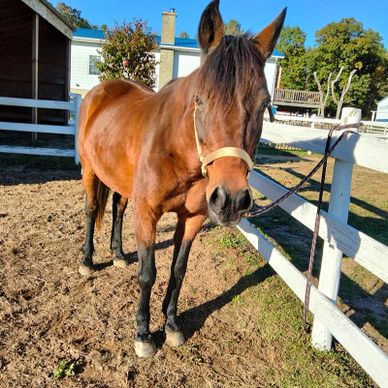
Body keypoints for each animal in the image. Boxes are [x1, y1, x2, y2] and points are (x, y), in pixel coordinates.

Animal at [77, 0, 286, 358]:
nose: (231, 199)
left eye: (264, 104)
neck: (176, 150)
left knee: (117, 208)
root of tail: (99, 92)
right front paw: (144, 334)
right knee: (92, 210)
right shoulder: (148, 213)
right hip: (90, 170)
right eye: (200, 99)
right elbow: (148, 273)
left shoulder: (193, 217)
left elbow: (178, 270)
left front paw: (172, 326)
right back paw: (88, 261)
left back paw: (117, 255)